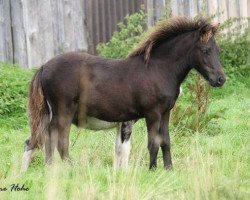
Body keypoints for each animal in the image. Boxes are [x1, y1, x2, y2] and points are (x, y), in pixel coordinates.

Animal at [21, 16, 226, 171]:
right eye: (205, 50)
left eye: (218, 50)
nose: (220, 79)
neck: (158, 69)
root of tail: (44, 67)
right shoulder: (152, 114)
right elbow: (152, 143)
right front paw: (152, 171)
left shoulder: (165, 113)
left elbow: (165, 142)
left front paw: (169, 170)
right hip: (63, 113)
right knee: (60, 142)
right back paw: (72, 170)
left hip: (49, 115)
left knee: (39, 141)